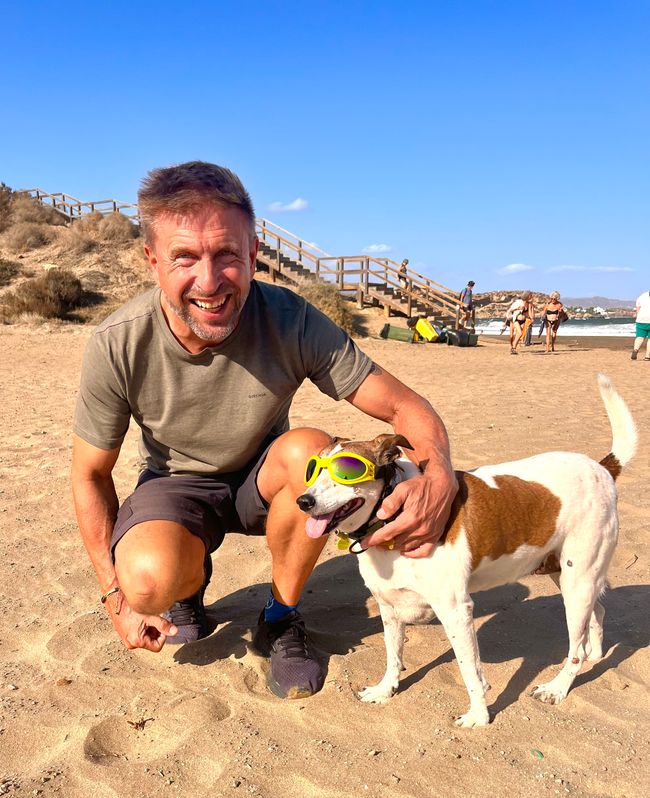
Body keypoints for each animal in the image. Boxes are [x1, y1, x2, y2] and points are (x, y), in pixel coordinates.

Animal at [296, 374, 636, 724]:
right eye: (313, 471)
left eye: (346, 471)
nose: (303, 501)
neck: (391, 521)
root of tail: (602, 468)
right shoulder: (388, 607)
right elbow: (393, 656)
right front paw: (385, 690)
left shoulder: (456, 611)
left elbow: (469, 670)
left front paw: (478, 715)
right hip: (566, 574)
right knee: (594, 617)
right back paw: (594, 654)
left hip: (577, 581)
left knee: (574, 648)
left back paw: (557, 687)